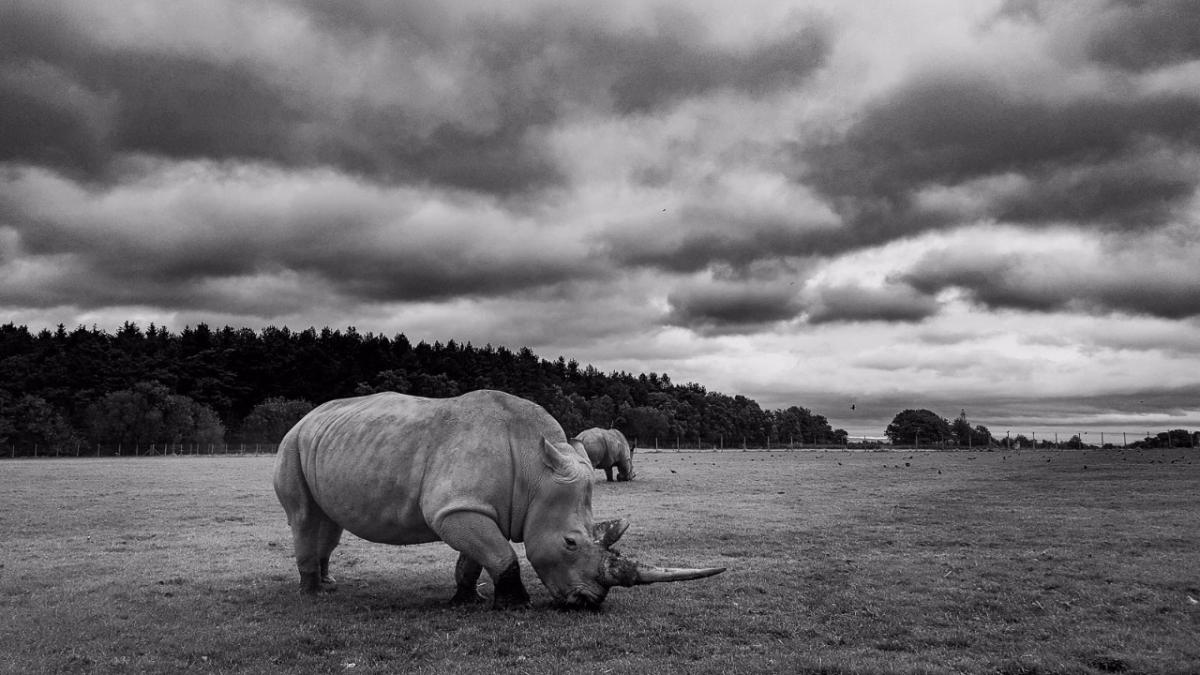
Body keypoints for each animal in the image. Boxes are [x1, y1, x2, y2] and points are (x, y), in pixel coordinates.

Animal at [273, 390, 724, 609]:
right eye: (570, 543)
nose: (589, 603)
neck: (536, 471)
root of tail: (306, 417)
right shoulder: (456, 508)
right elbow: (501, 554)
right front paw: (516, 604)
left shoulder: (469, 506)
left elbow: (476, 557)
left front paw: (467, 599)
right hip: (291, 443)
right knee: (304, 516)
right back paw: (313, 596)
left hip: (328, 443)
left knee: (329, 523)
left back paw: (330, 584)